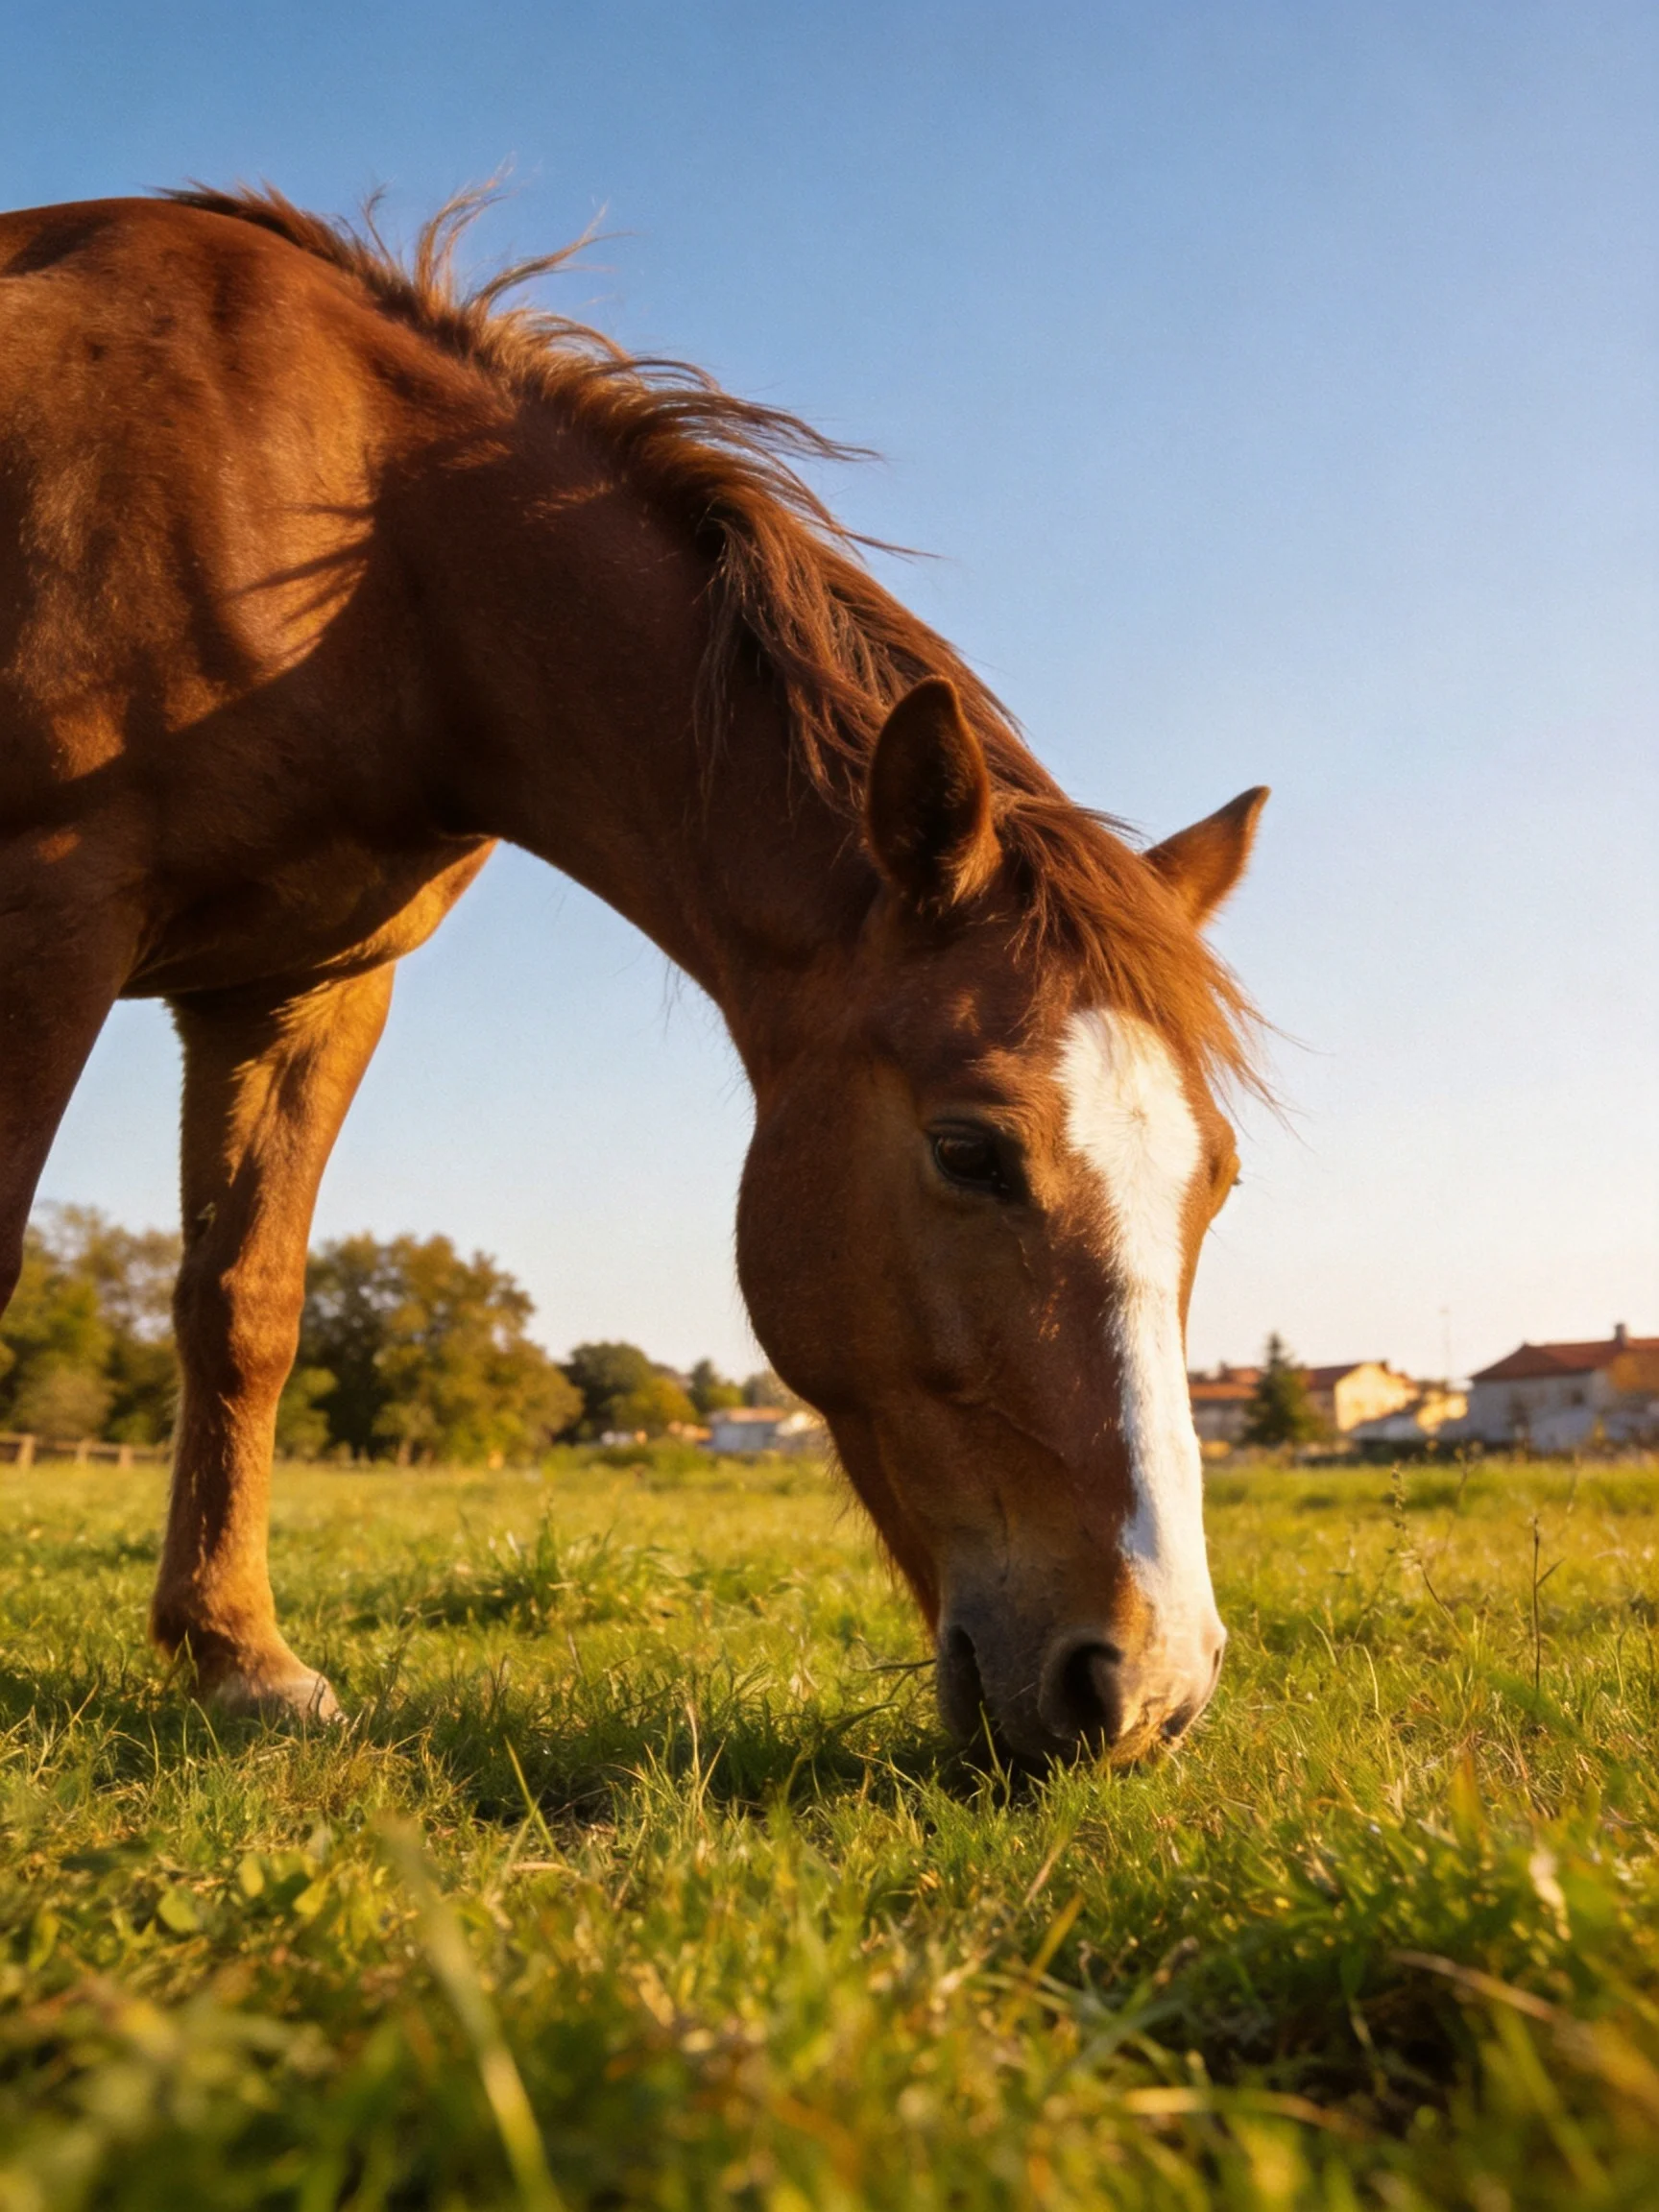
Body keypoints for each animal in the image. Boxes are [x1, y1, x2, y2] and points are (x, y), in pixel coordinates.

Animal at [0, 187, 1266, 1763]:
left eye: (1217, 1180)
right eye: (970, 1151)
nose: (1150, 1686)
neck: (367, 557)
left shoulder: (305, 990)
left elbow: (246, 1308)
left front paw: (242, 1660)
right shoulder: (49, 910)